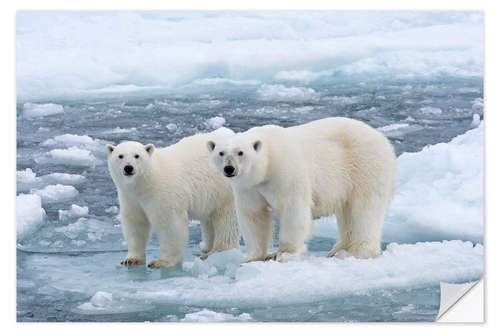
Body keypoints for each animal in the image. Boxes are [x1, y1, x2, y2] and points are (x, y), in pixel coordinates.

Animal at [106, 131, 239, 268]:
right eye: (120, 156)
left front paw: (161, 262)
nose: (128, 168)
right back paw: (206, 248)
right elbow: (135, 223)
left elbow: (170, 225)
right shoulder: (130, 197)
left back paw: (218, 251)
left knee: (226, 219)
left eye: (137, 156)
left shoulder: (162, 193)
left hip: (224, 188)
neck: (145, 182)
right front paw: (132, 259)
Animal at [206, 116, 394, 262]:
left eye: (240, 152)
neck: (269, 161)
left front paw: (282, 254)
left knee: (365, 209)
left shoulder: (287, 173)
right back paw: (338, 249)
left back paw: (357, 251)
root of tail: (382, 138)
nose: (229, 169)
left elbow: (293, 209)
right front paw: (253, 257)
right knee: (347, 212)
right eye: (221, 153)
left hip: (365, 166)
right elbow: (254, 215)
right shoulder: (248, 187)